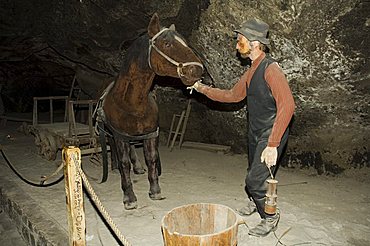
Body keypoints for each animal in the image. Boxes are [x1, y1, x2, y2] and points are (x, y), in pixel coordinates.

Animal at [97, 13, 202, 209]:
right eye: (167, 44)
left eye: (185, 42)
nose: (197, 70)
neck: (133, 103)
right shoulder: (120, 136)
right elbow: (124, 163)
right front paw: (129, 197)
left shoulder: (151, 134)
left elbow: (152, 158)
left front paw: (155, 191)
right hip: (110, 133)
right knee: (114, 150)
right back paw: (114, 167)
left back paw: (137, 167)